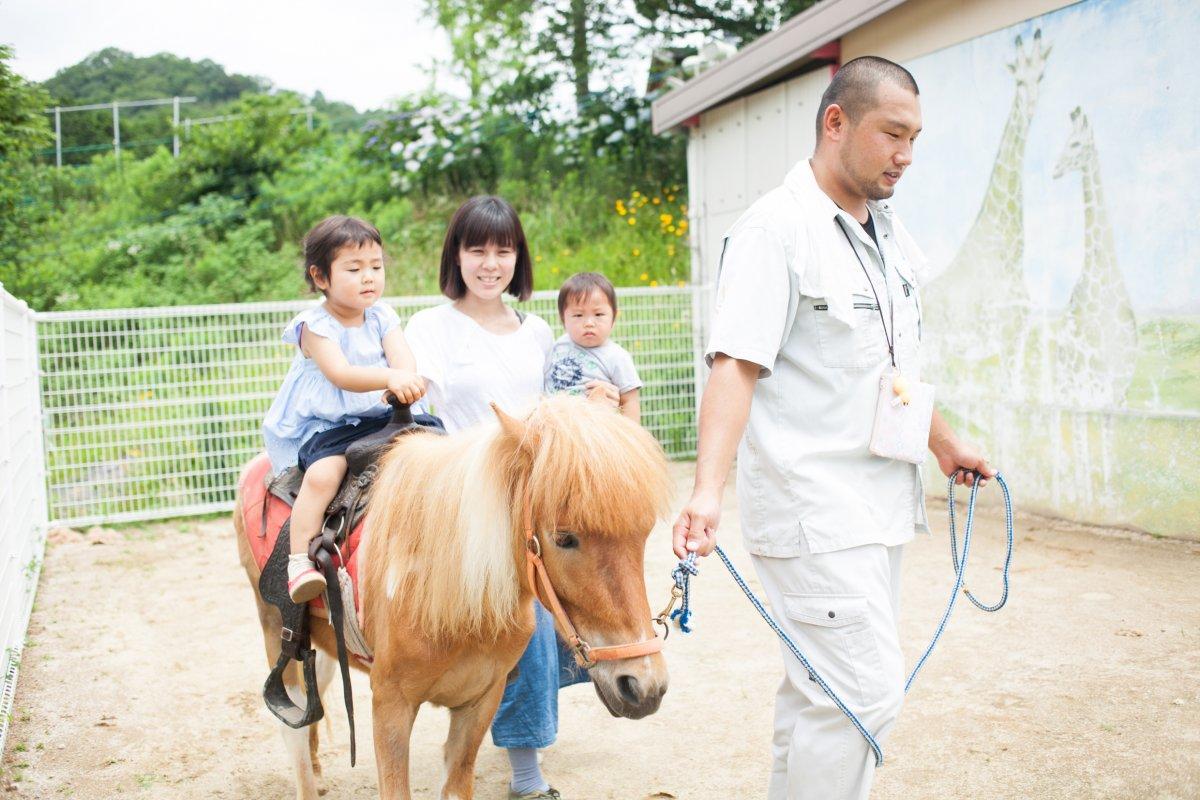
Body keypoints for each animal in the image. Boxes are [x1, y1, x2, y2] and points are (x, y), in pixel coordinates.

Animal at [236, 395, 676, 800]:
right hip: (277, 632)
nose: (643, 687)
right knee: (293, 722)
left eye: (643, 534)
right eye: (564, 538)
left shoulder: (480, 703)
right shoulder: (391, 704)